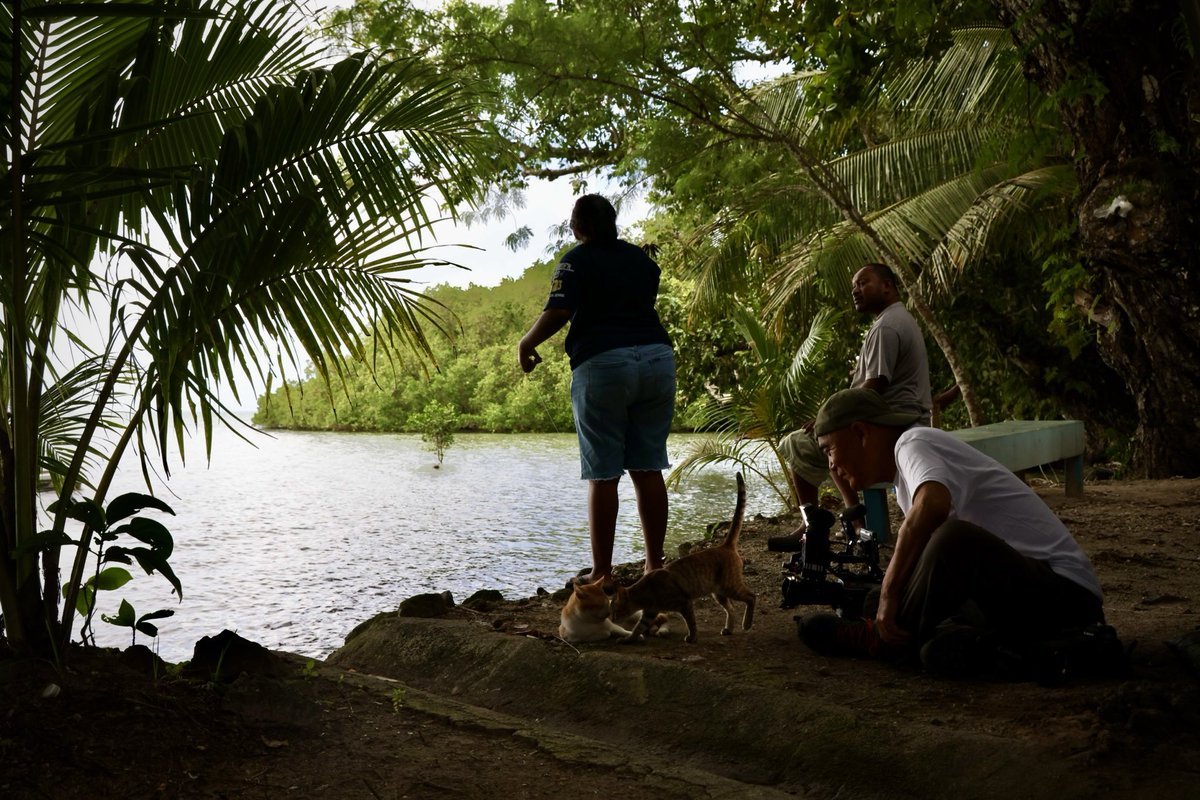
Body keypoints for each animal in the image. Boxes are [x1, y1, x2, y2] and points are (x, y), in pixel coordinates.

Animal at [614, 470, 753, 642]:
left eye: (615, 609)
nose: (611, 618)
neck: (646, 590)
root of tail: (725, 545)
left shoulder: (684, 603)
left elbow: (691, 622)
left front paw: (692, 637)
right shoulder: (649, 613)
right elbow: (638, 628)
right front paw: (629, 639)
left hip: (730, 586)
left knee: (751, 597)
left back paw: (747, 624)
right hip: (718, 592)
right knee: (731, 608)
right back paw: (729, 628)